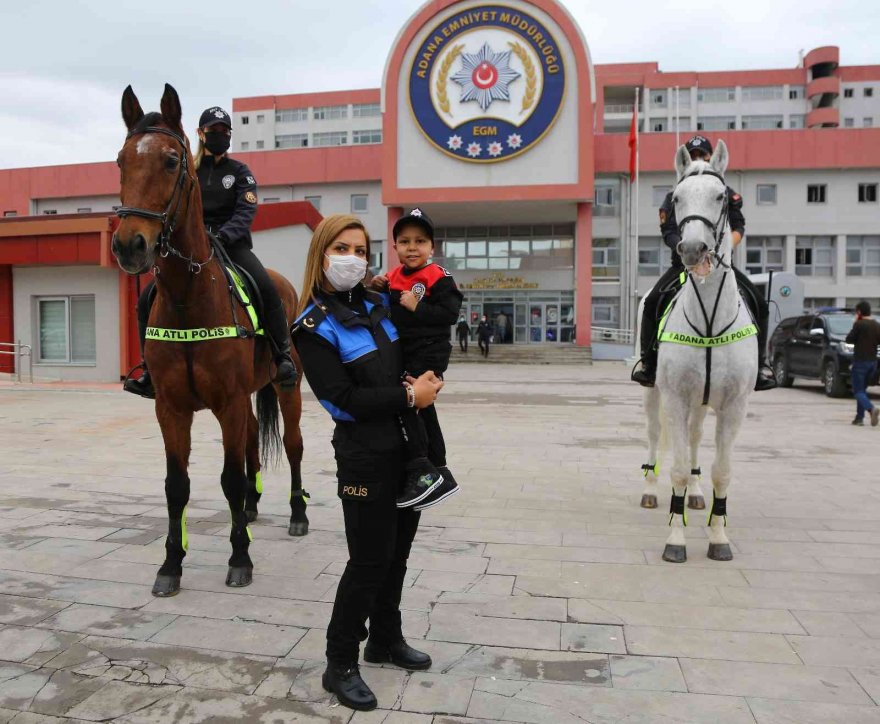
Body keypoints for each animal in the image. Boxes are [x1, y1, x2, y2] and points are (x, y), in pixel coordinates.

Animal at [111, 85, 308, 596]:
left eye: (171, 161)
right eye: (121, 161)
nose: (129, 245)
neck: (189, 298)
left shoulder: (228, 402)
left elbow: (230, 479)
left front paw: (240, 559)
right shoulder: (171, 408)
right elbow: (176, 485)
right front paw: (170, 564)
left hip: (286, 387)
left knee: (292, 446)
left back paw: (296, 515)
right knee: (253, 444)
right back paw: (253, 511)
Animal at [640, 139, 756, 564]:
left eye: (721, 196)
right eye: (676, 198)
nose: (692, 248)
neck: (708, 320)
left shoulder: (735, 404)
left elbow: (722, 470)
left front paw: (718, 536)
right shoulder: (674, 396)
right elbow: (674, 466)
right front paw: (676, 540)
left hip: (703, 403)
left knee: (693, 440)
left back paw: (695, 493)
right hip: (655, 393)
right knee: (657, 435)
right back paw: (652, 491)